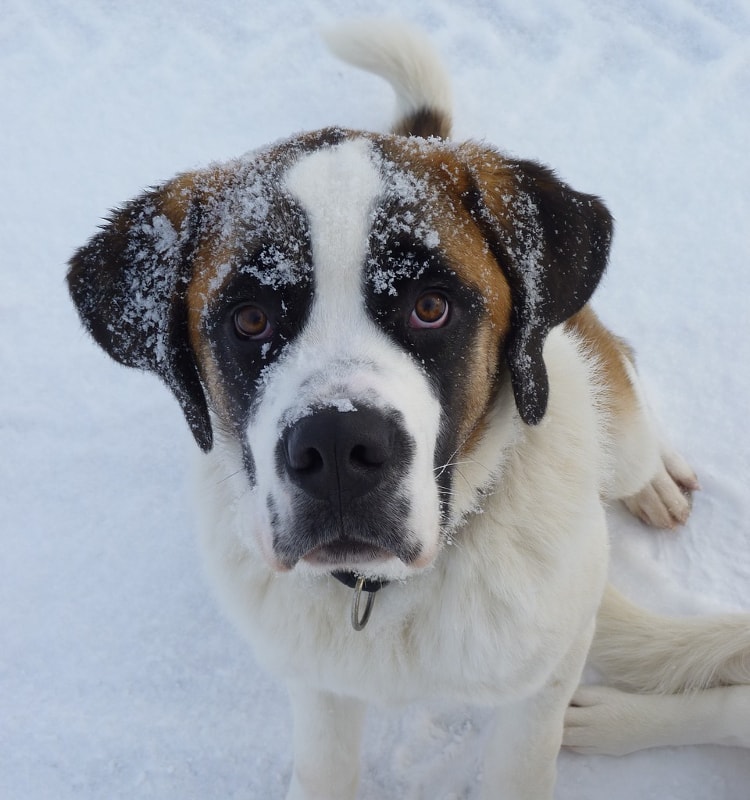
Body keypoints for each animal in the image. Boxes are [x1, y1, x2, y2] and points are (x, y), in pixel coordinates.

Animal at [66, 20, 750, 800]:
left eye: (431, 307)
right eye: (249, 320)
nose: (337, 448)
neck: (382, 591)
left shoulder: (544, 678)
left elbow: (521, 762)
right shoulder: (318, 686)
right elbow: (325, 766)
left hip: (613, 425)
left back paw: (656, 482)